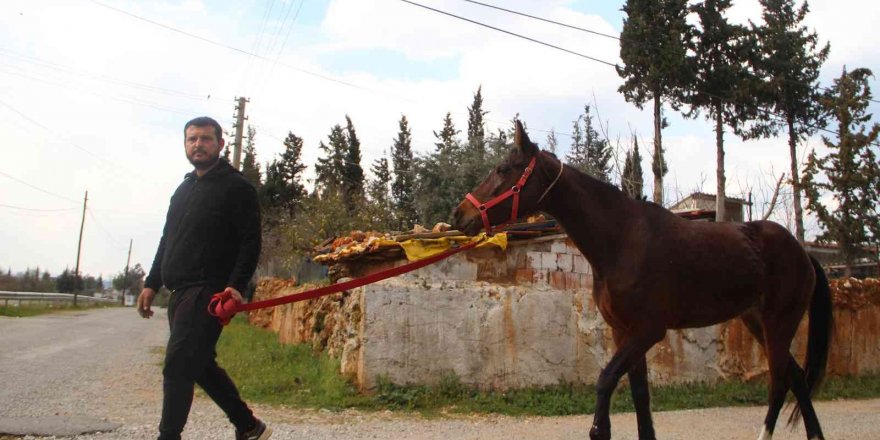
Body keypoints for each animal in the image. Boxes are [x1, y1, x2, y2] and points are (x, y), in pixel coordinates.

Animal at [454, 120, 832, 440]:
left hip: (778, 323)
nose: (460, 214)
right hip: (756, 322)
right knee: (796, 378)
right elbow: (640, 398)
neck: (623, 239)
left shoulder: (648, 331)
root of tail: (803, 253)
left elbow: (606, 381)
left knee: (780, 382)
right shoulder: (623, 331)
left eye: (503, 169)